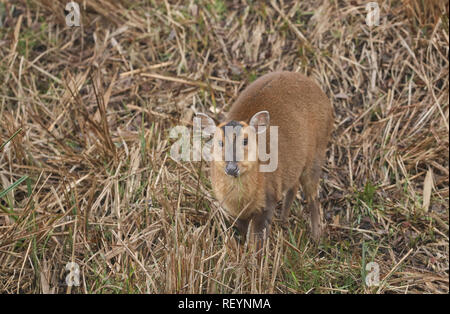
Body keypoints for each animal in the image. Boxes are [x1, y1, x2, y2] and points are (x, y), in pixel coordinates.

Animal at [198, 71, 334, 243]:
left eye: (245, 140)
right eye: (220, 142)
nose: (232, 168)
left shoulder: (267, 202)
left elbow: (258, 241)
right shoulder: (234, 212)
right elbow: (243, 236)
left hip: (318, 150)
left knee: (313, 196)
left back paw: (316, 238)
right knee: (294, 185)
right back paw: (283, 222)